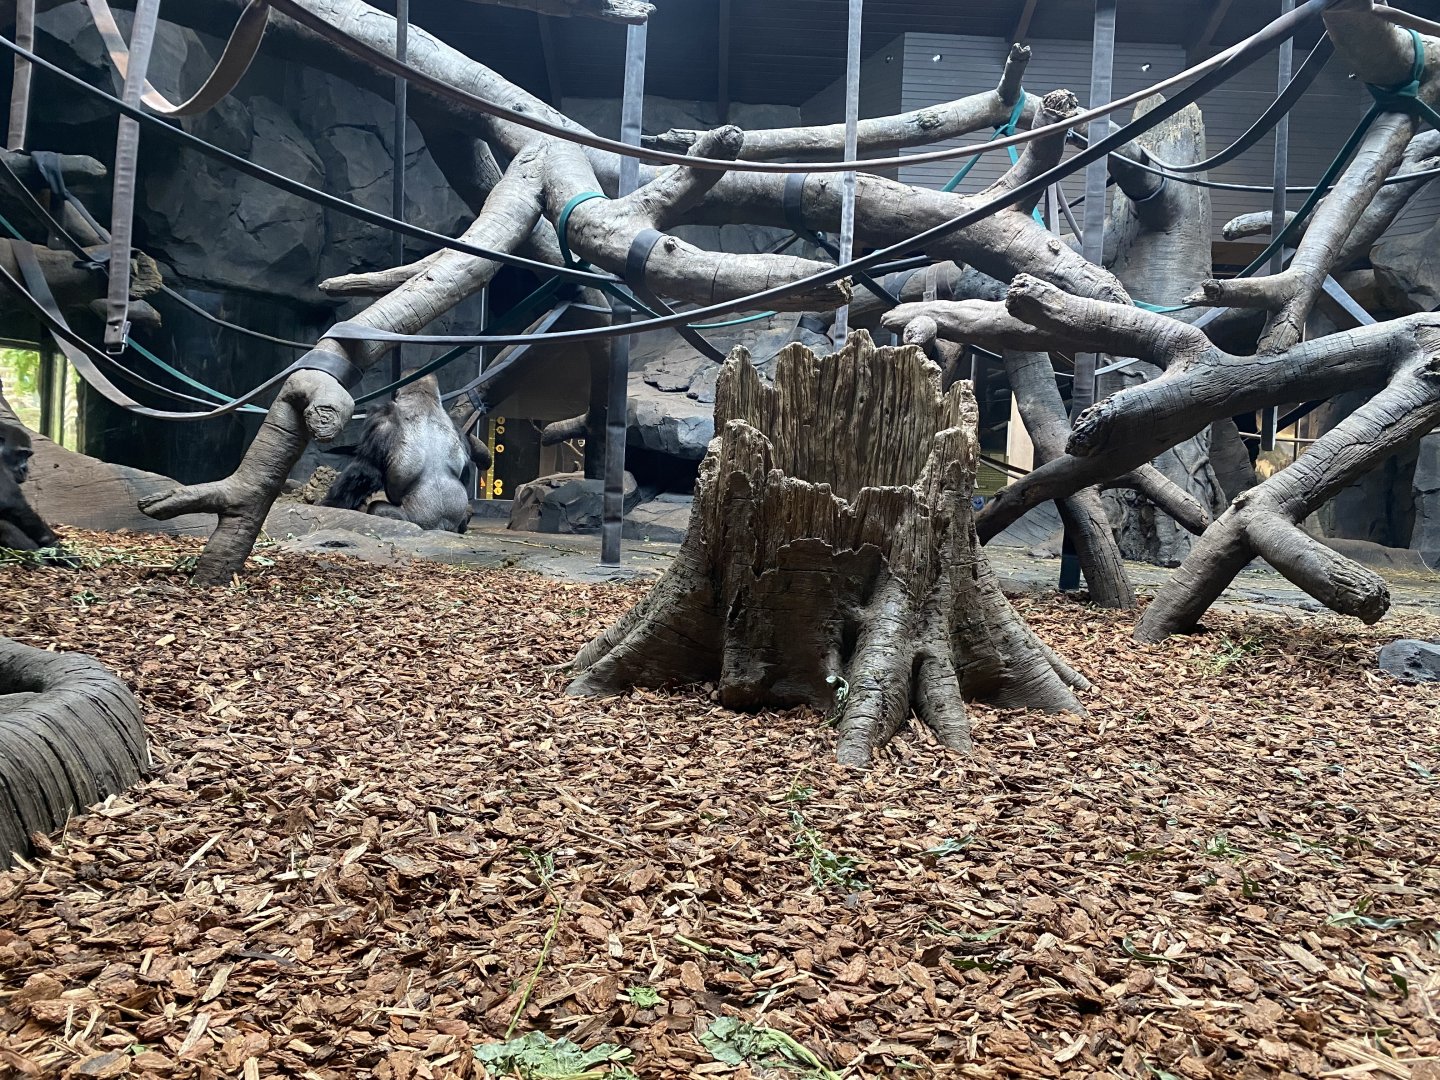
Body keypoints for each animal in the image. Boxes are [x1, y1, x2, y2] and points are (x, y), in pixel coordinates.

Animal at [321, 375, 489, 533]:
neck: (424, 402)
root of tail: (440, 526)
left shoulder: (382, 420)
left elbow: (366, 471)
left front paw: (331, 504)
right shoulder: (458, 428)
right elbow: (464, 474)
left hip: (417, 520)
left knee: (378, 509)